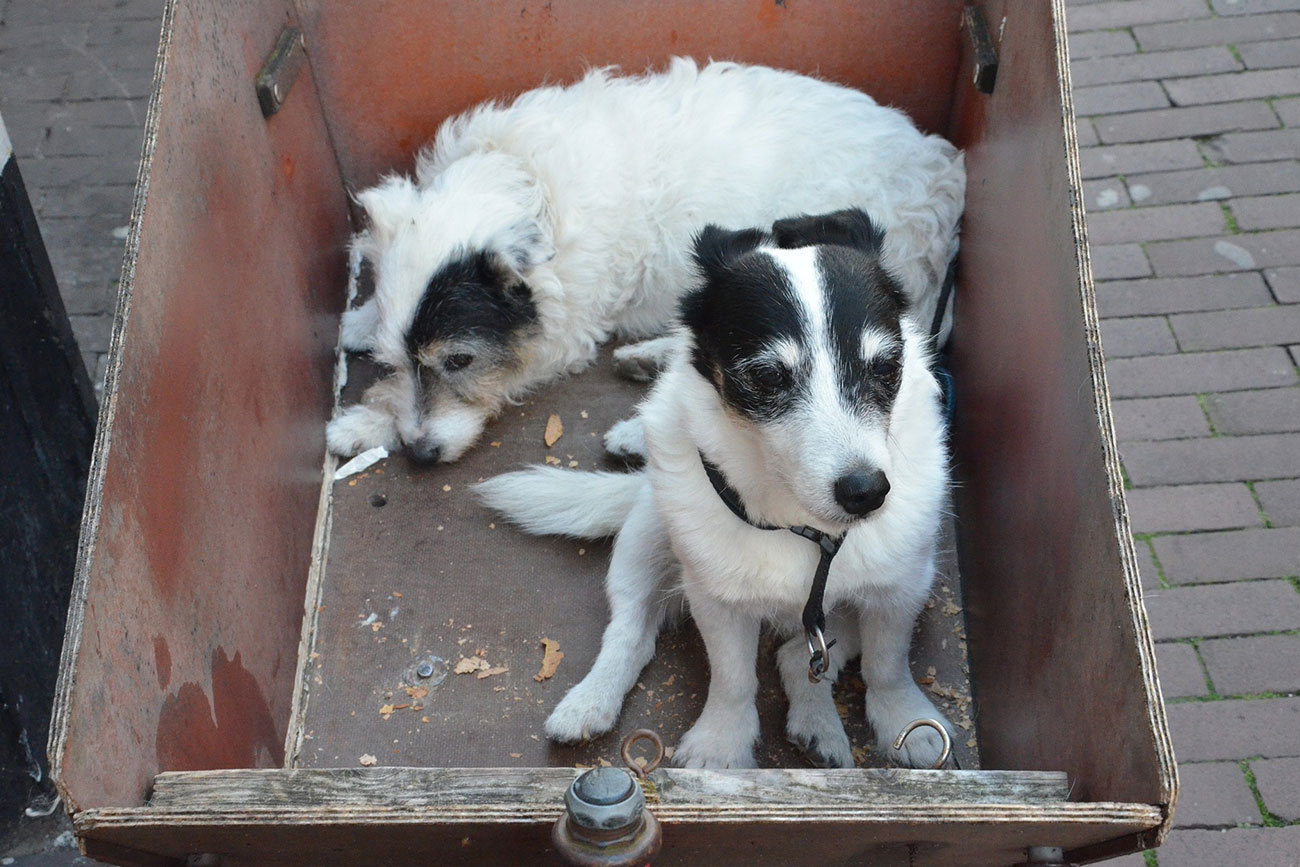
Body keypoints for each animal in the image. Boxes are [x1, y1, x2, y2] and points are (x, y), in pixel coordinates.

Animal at [330, 59, 961, 467]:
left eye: (459, 360)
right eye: (394, 354)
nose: (420, 453)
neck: (528, 182)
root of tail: (942, 186)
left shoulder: (564, 337)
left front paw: (366, 421)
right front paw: (360, 325)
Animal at [478, 211, 956, 774]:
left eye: (885, 366)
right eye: (767, 376)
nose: (866, 492)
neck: (803, 527)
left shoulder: (902, 589)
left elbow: (888, 666)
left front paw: (906, 720)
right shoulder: (715, 596)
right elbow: (732, 678)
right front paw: (722, 746)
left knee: (799, 656)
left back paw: (818, 727)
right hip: (647, 538)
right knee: (630, 632)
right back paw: (590, 701)